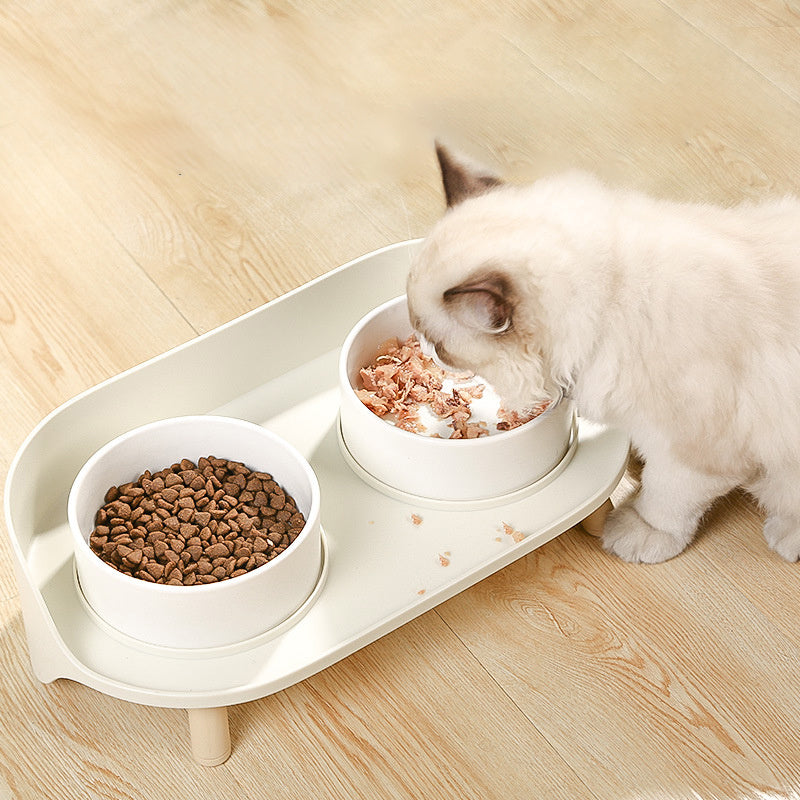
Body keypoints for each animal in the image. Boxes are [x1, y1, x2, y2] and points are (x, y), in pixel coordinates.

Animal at [406, 145, 800, 568]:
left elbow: (666, 500)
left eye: (439, 345)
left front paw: (638, 531)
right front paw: (636, 462)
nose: (422, 345)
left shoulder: (696, 449)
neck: (610, 301)